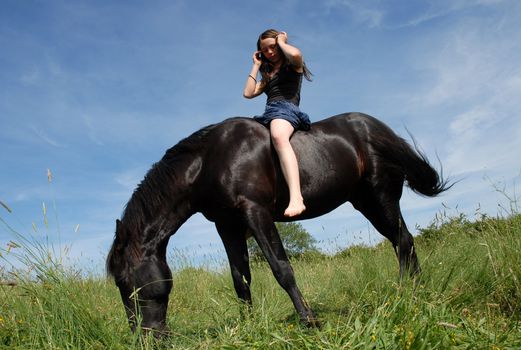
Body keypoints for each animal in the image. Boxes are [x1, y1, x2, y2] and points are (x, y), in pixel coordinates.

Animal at [104, 113, 446, 334]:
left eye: (125, 282)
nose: (145, 336)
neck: (210, 161)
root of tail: (378, 129)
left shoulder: (256, 212)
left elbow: (282, 269)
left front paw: (309, 321)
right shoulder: (227, 225)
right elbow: (240, 279)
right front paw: (248, 326)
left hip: (380, 195)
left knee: (403, 241)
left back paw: (410, 294)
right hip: (366, 201)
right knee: (401, 242)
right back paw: (412, 292)